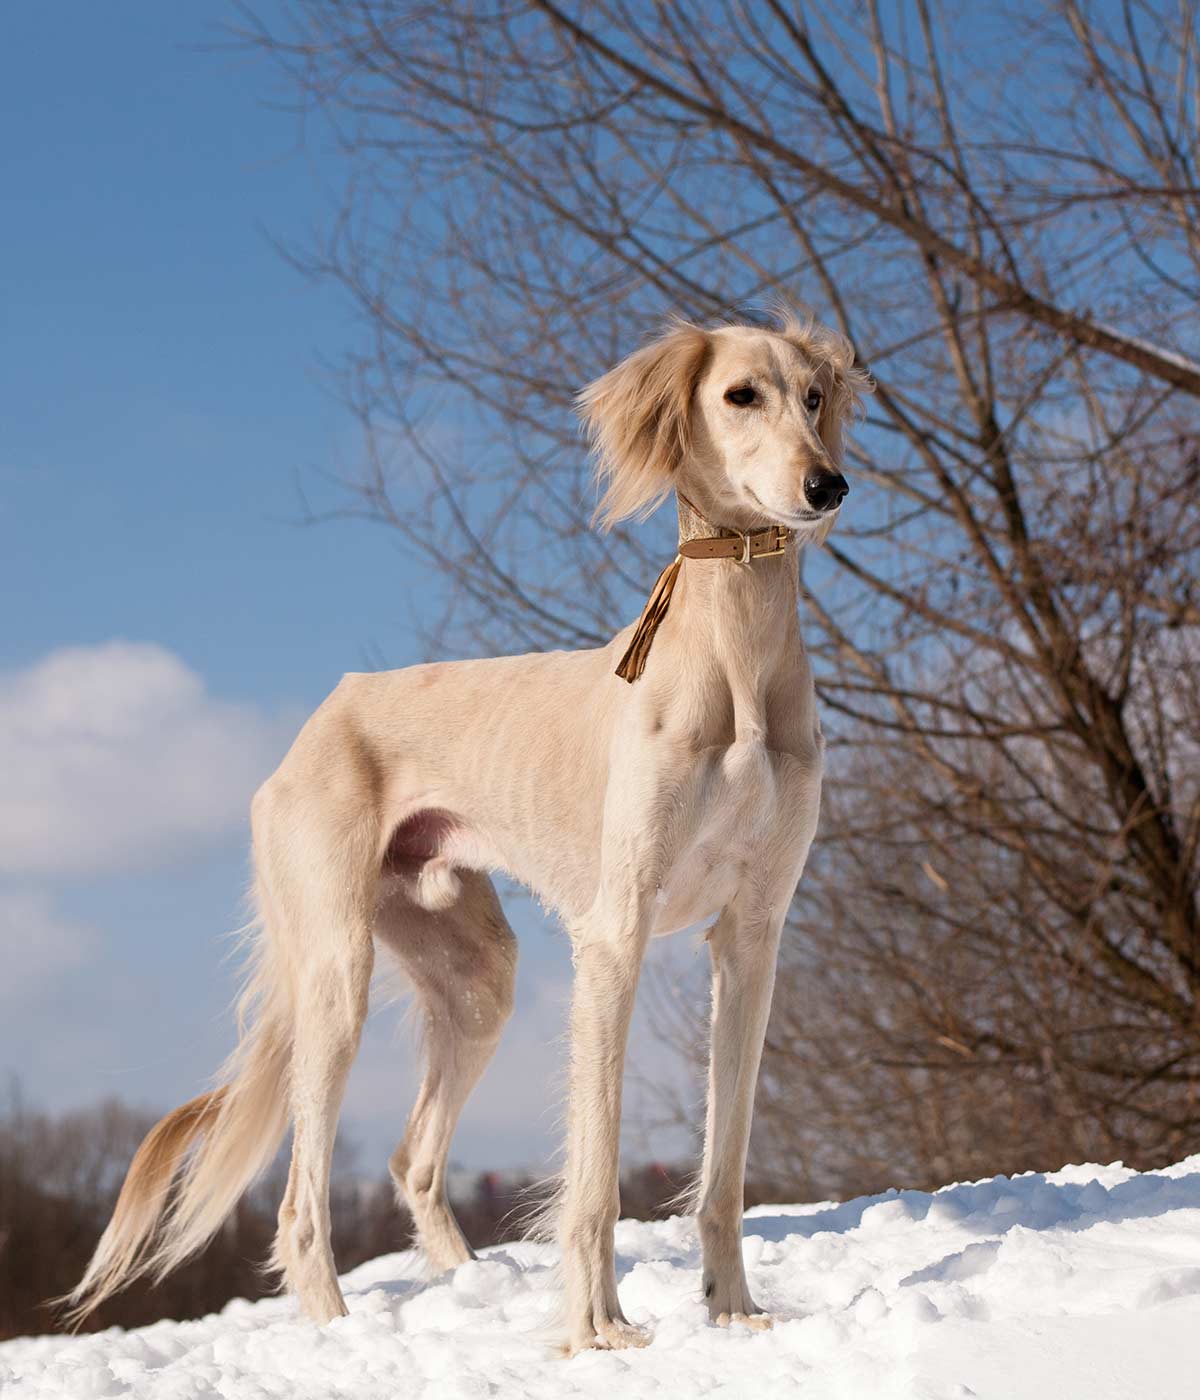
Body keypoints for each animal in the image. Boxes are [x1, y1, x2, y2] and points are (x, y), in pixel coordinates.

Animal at [67, 309, 868, 1355]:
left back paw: (463, 1286)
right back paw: (343, 1336)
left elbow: (724, 1165)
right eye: (740, 395)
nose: (827, 486)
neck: (736, 659)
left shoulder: (753, 935)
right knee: (301, 1204)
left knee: (411, 1158)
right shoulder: (616, 931)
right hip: (337, 973)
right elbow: (594, 1172)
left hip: (477, 974)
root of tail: (318, 718)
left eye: (813, 397)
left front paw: (733, 1314)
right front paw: (597, 1331)